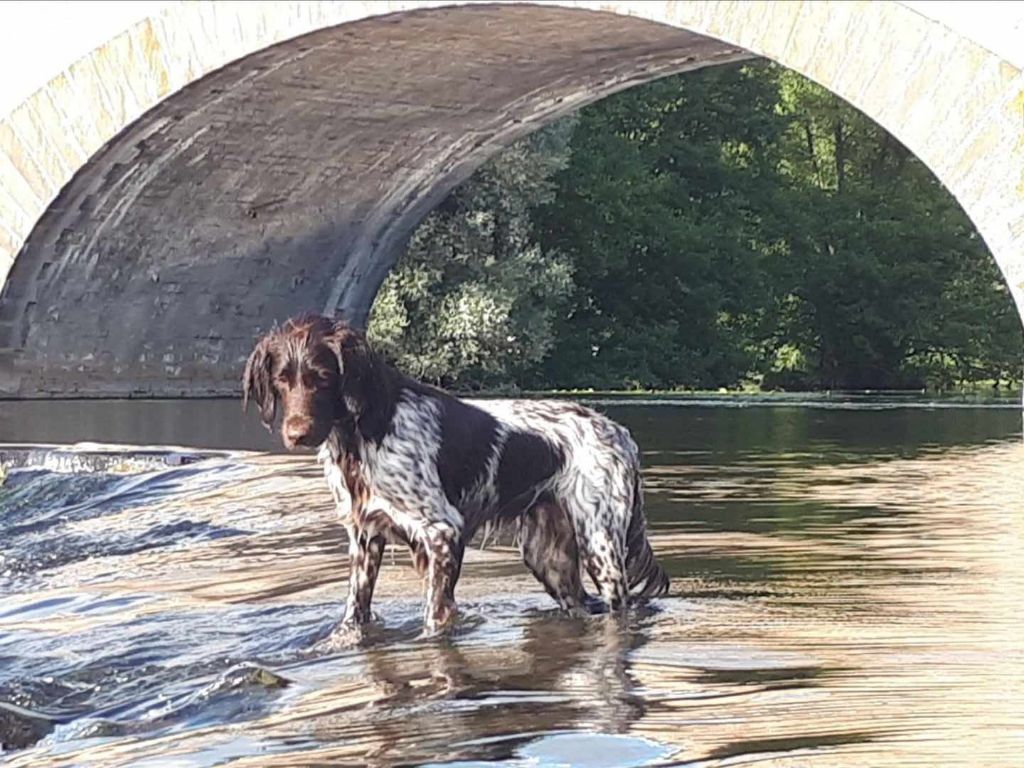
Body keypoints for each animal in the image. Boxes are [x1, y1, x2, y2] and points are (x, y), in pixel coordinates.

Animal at [242, 315, 667, 634]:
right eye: (282, 379)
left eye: (323, 377)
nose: (296, 433)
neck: (362, 436)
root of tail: (619, 432)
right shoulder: (365, 537)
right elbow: (355, 612)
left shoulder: (443, 532)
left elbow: (435, 615)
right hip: (549, 559)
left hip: (600, 547)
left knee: (620, 605)